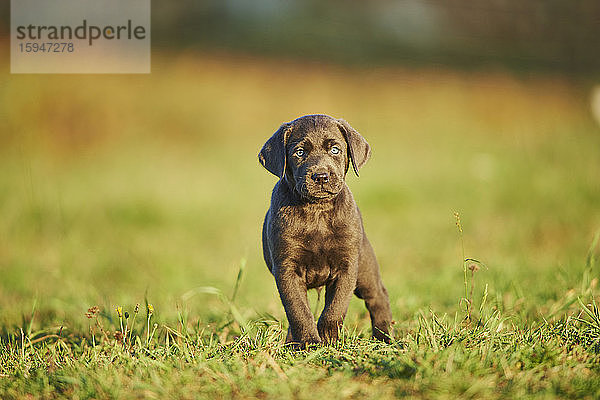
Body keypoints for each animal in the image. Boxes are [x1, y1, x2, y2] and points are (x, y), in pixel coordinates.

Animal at [258, 113, 394, 346]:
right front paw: (309, 343)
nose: (321, 176)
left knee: (378, 297)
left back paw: (385, 338)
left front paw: (329, 340)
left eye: (335, 150)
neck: (317, 212)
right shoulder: (286, 269)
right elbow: (298, 311)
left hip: (365, 268)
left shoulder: (347, 266)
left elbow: (335, 308)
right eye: (300, 152)